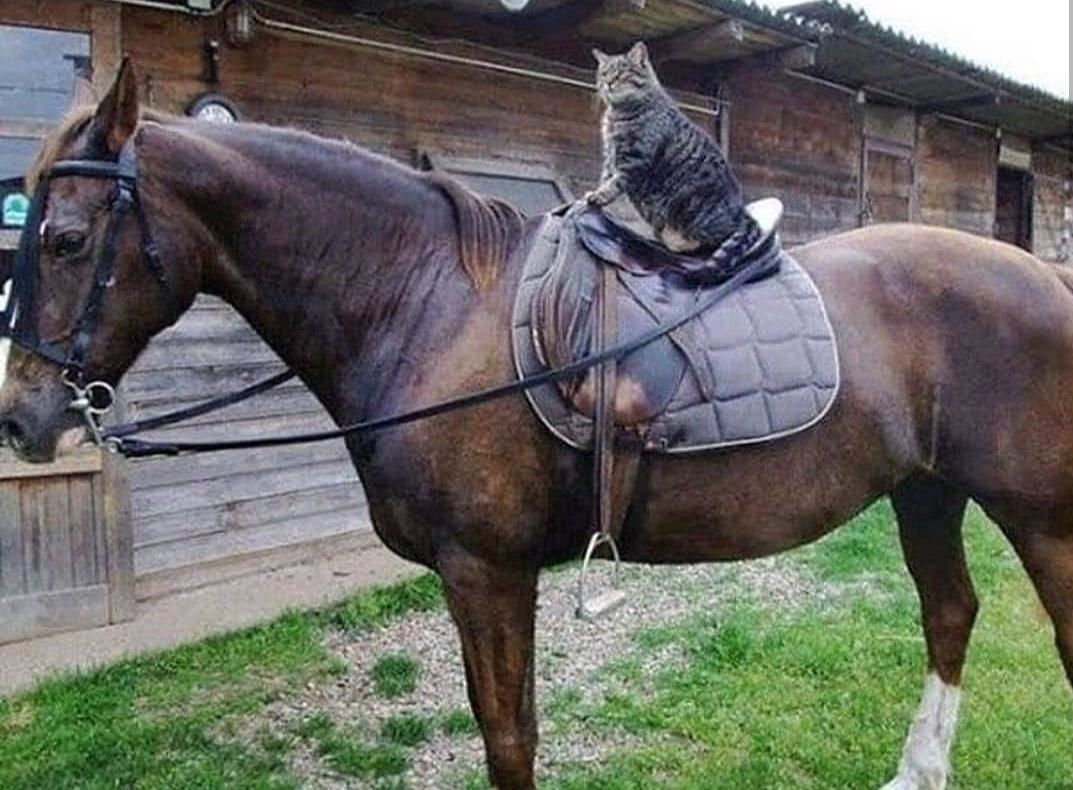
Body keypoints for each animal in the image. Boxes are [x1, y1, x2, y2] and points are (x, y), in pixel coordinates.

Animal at [1, 61, 1071, 790]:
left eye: (64, 238)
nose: (22, 416)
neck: (427, 303)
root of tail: (1044, 279)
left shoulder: (487, 571)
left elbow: (507, 736)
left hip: (1035, 514)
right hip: (926, 491)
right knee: (949, 613)